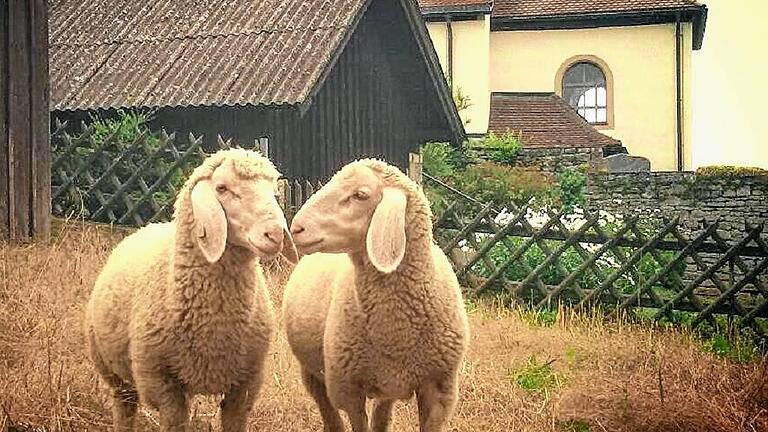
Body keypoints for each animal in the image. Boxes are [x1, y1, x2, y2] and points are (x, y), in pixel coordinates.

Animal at [85, 149, 296, 432]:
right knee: (124, 407)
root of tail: (147, 227)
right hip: (114, 372)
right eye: (222, 188)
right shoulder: (161, 382)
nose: (276, 234)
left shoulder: (246, 383)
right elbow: (174, 421)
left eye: (273, 190)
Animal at [282, 159, 468, 432]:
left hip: (387, 386)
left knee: (382, 414)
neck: (396, 336)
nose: (296, 228)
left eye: (360, 195)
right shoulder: (348, 391)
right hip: (313, 372)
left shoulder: (440, 390)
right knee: (329, 413)